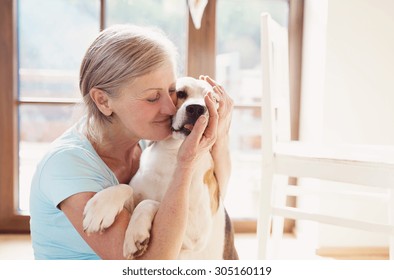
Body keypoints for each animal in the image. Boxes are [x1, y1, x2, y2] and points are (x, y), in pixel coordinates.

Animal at [82, 76, 239, 260]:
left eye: (213, 100)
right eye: (180, 93)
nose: (196, 109)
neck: (172, 155)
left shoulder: (196, 232)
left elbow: (152, 202)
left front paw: (135, 234)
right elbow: (126, 187)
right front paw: (101, 207)